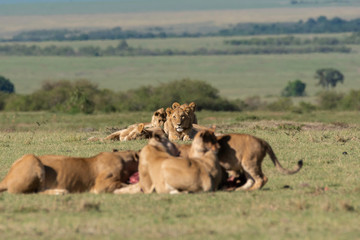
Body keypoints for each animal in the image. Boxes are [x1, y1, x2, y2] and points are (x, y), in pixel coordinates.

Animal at [0, 149, 139, 194]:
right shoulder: (101, 186)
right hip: (32, 158)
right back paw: (60, 192)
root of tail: (6, 178)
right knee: (33, 192)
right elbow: (124, 185)